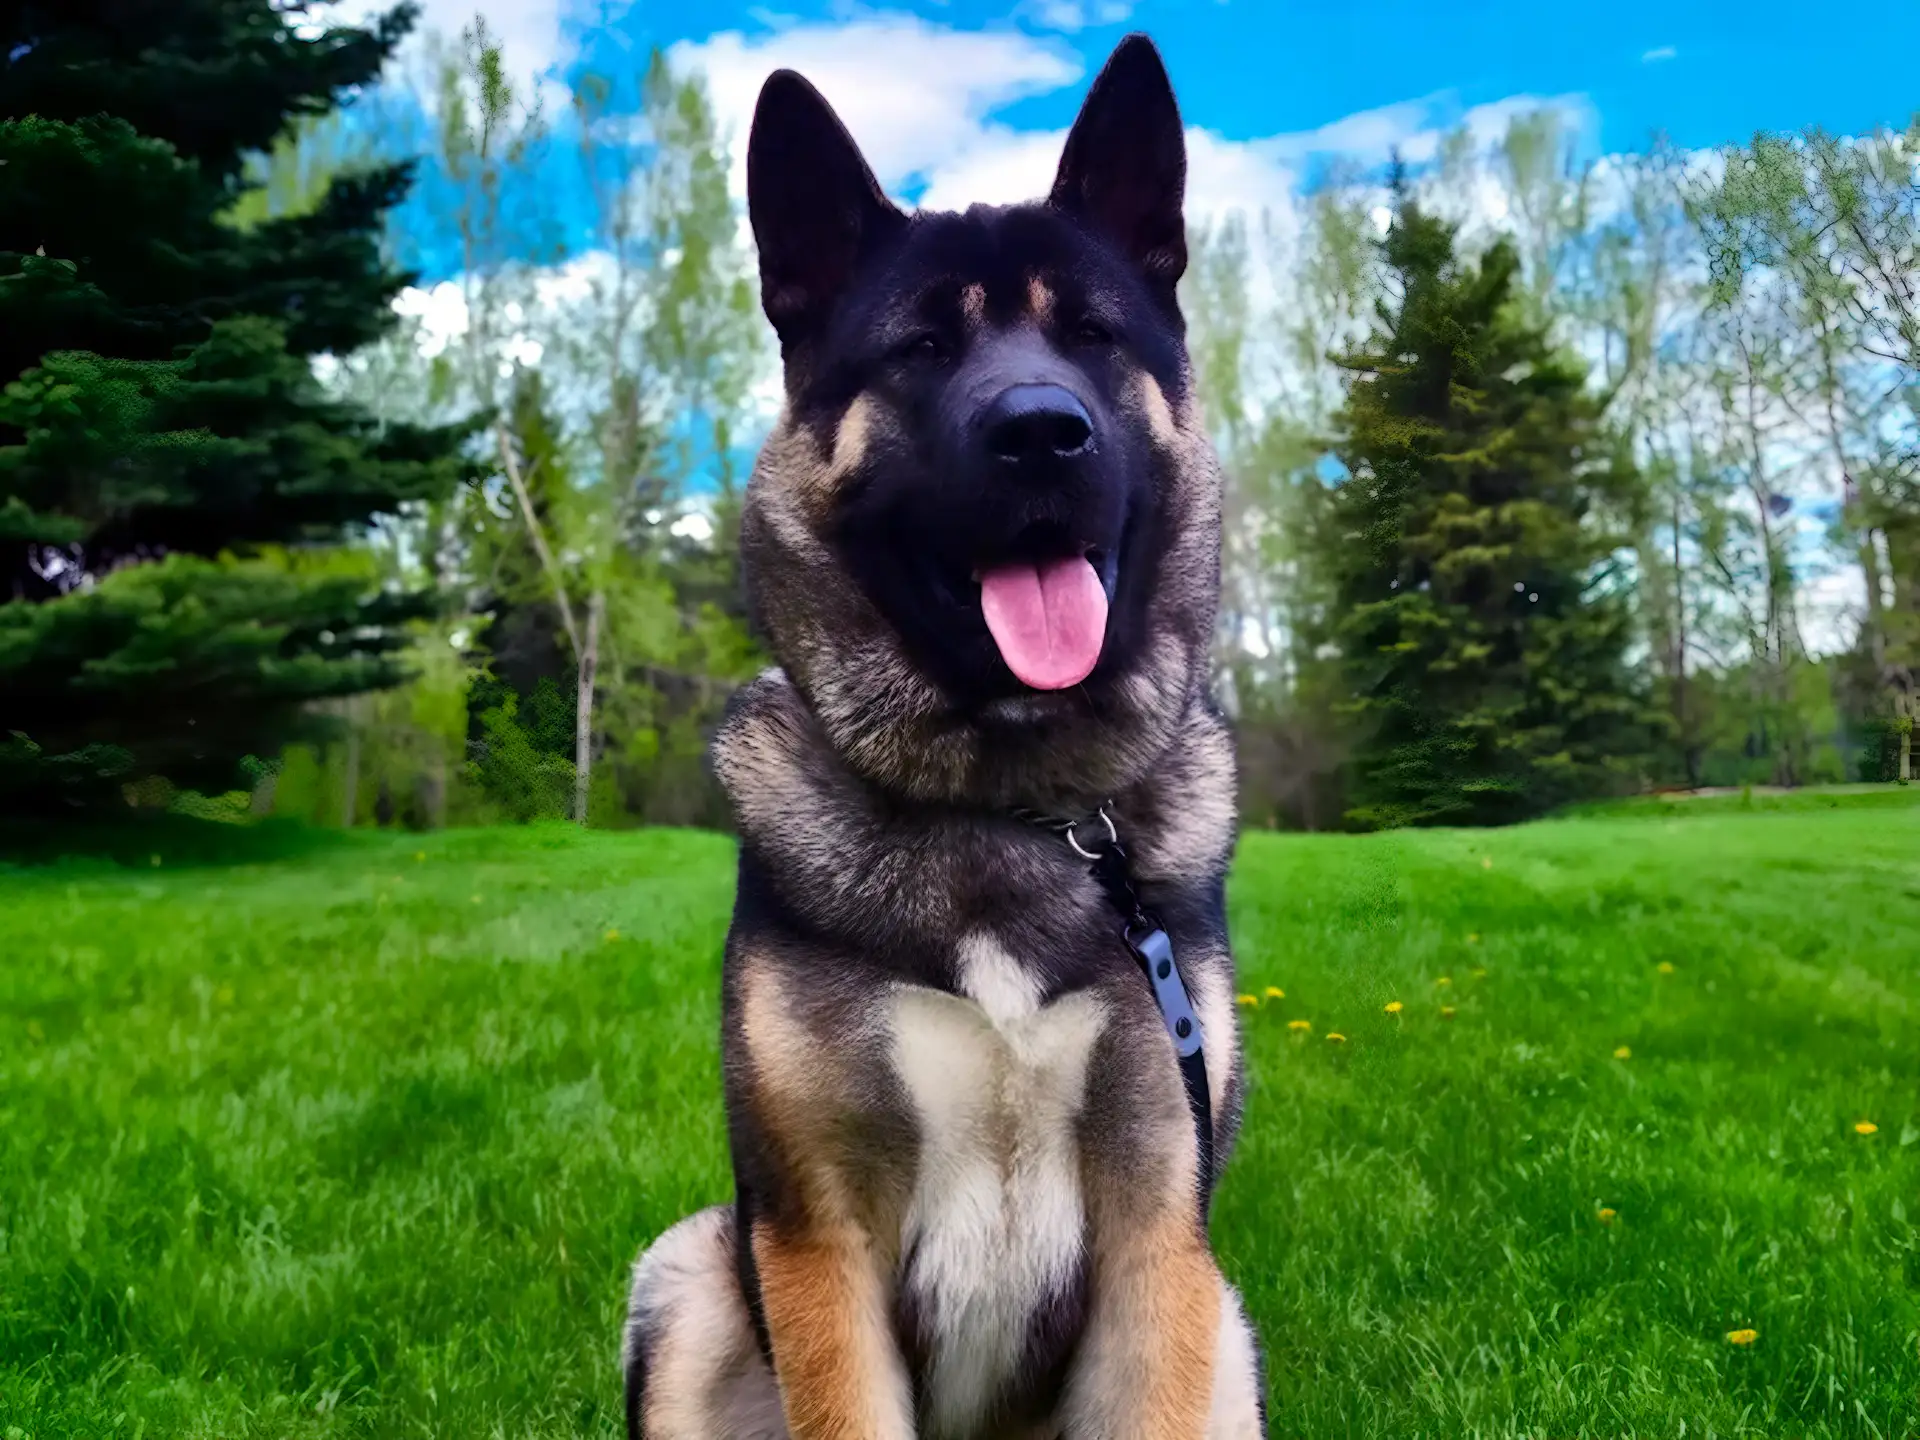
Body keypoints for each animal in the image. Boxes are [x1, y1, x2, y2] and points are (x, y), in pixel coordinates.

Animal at [622, 33, 1267, 1440]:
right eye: (919, 346)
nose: (1042, 432)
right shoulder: (817, 1240)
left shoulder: (1163, 1237)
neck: (1010, 806)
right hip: (689, 1275)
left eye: (1092, 335)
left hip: (1230, 1334)